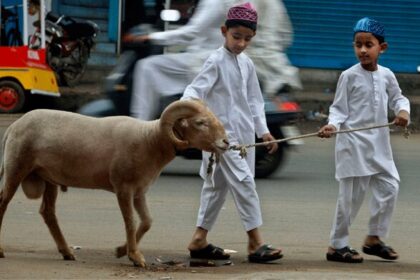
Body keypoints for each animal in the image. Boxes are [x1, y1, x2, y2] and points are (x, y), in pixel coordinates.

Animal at [0, 100, 228, 266]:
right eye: (200, 122)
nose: (226, 142)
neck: (149, 140)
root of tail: (13, 126)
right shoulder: (123, 187)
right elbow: (131, 222)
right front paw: (135, 257)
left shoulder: (139, 191)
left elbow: (147, 221)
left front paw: (121, 250)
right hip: (16, 168)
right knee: (3, 203)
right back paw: (2, 250)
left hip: (49, 179)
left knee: (47, 212)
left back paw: (67, 252)